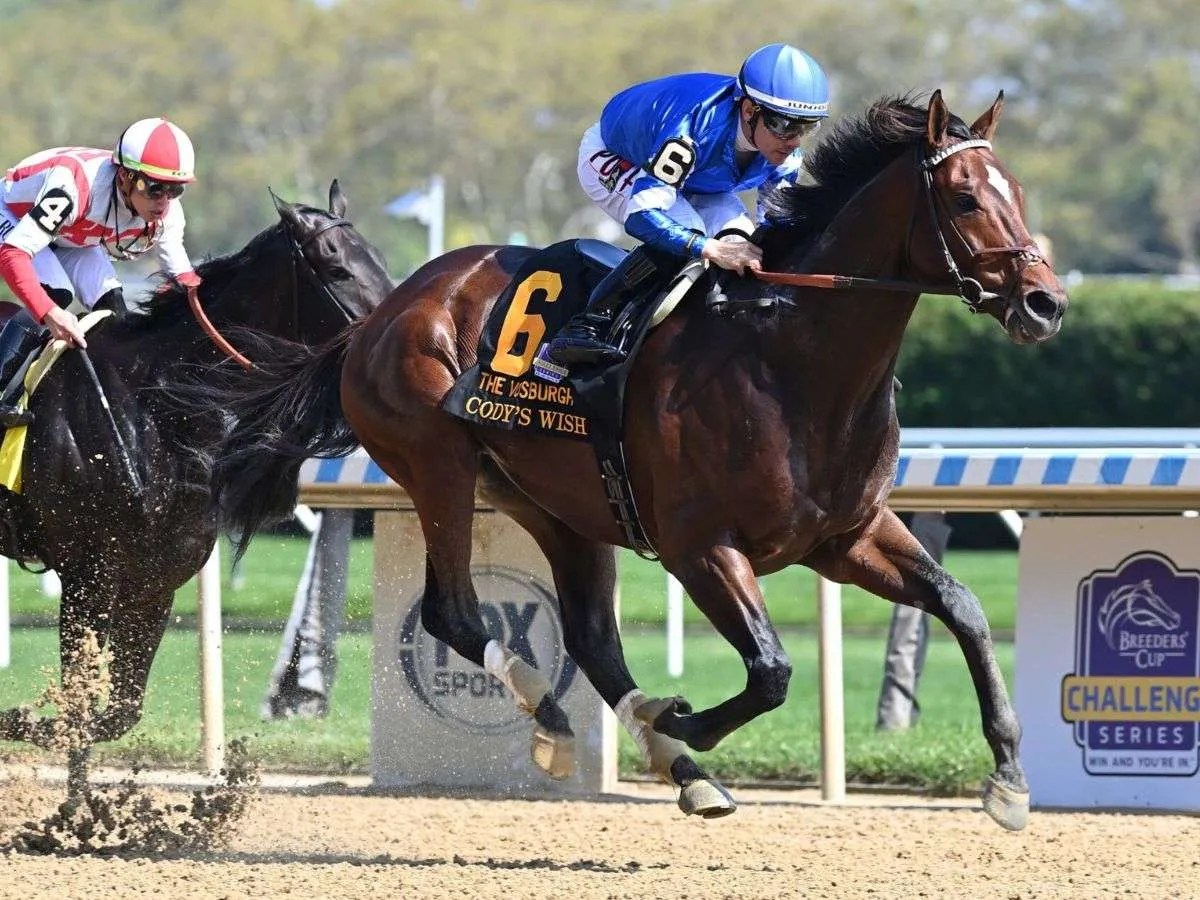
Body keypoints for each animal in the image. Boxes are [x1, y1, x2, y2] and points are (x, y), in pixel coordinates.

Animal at [194, 93, 1070, 830]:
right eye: (965, 198)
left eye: (1021, 193)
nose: (1045, 303)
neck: (791, 356)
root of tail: (383, 311)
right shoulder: (700, 546)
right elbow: (772, 669)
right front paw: (680, 715)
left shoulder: (844, 536)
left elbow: (962, 606)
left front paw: (1008, 777)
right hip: (437, 464)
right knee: (456, 613)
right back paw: (568, 718)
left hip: (557, 504)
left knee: (589, 639)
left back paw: (676, 766)